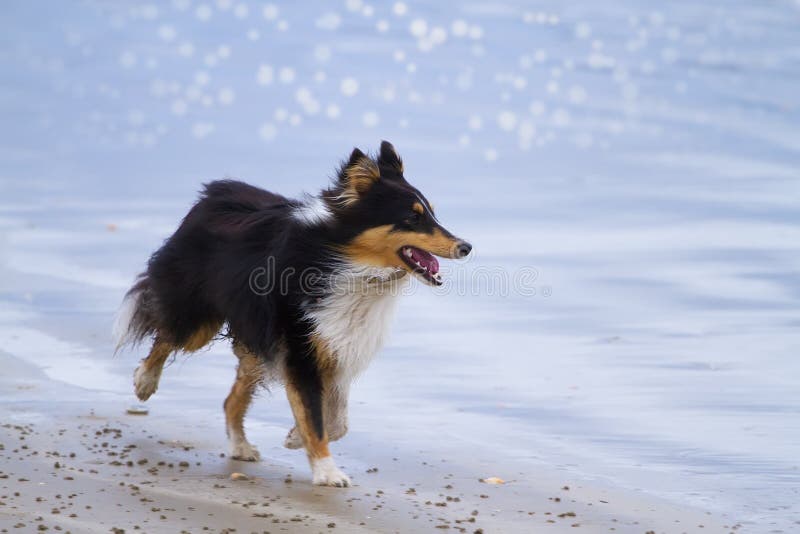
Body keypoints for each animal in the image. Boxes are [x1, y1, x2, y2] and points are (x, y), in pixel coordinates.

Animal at [115, 140, 472, 488]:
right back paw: (144, 382)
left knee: (231, 398)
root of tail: (214, 193)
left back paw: (241, 446)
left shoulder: (337, 344)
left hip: (259, 339)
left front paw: (293, 437)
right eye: (412, 218)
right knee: (168, 335)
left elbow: (336, 420)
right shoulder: (301, 348)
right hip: (201, 319)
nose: (466, 247)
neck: (353, 268)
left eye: (432, 214)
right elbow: (315, 415)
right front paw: (328, 472)